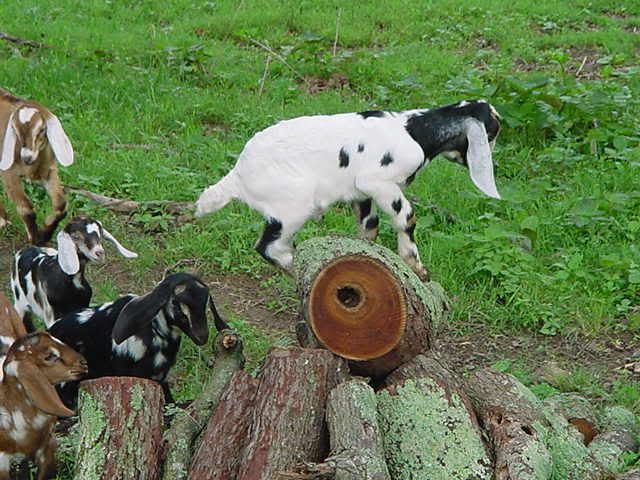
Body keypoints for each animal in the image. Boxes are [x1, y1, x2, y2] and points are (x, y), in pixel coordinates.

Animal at [0, 88, 74, 245]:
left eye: (41, 129)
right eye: (14, 129)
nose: (27, 157)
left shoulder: (48, 172)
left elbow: (61, 205)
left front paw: (45, 233)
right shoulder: (9, 172)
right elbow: (25, 208)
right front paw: (35, 240)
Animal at [196, 100, 501, 281]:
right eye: (492, 132)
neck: (415, 130)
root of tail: (238, 174)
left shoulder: (361, 194)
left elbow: (370, 227)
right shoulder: (377, 182)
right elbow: (407, 217)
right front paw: (416, 266)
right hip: (292, 208)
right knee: (269, 246)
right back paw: (299, 269)